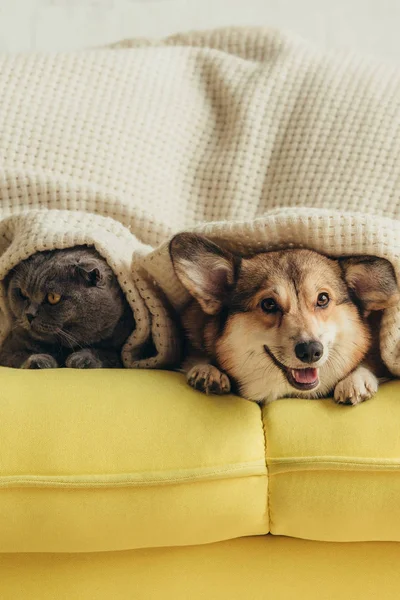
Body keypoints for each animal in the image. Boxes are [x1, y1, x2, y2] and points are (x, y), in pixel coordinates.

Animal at [0, 246, 134, 368]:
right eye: (22, 293)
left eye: (53, 297)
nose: (29, 315)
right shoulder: (9, 347)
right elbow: (18, 355)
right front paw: (39, 360)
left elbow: (107, 354)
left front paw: (83, 359)